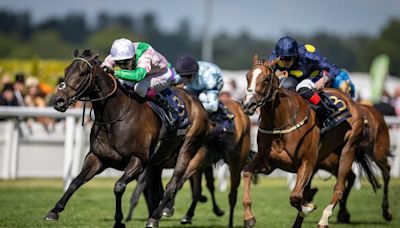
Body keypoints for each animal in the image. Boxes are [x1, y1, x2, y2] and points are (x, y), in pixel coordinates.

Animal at [44, 50, 209, 228]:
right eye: (66, 70)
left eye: (83, 72)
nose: (59, 101)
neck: (115, 117)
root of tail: (196, 100)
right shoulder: (97, 157)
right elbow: (76, 181)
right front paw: (54, 211)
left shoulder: (138, 161)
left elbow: (118, 187)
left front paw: (119, 220)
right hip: (157, 162)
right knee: (156, 193)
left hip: (187, 148)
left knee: (172, 186)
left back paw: (154, 218)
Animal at [242, 54, 376, 227]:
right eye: (247, 77)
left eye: (265, 79)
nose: (248, 105)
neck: (280, 123)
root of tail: (352, 102)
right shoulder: (268, 163)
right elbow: (247, 171)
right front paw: (248, 217)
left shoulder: (307, 161)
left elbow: (295, 196)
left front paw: (308, 207)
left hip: (348, 149)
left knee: (340, 187)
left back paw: (324, 218)